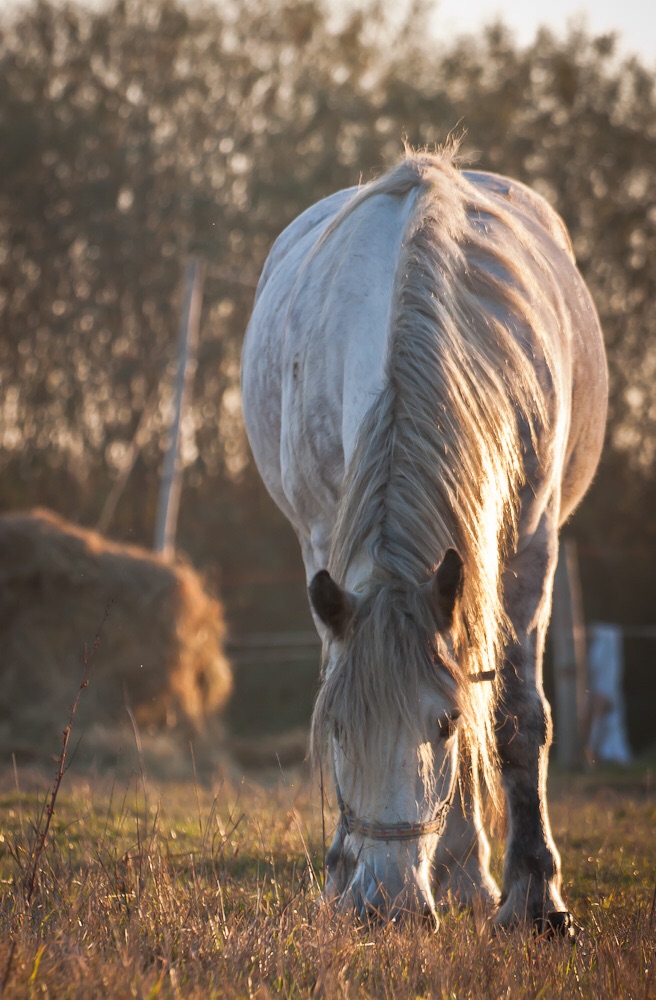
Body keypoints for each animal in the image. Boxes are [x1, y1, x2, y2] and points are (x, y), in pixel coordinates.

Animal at [240, 150, 604, 928]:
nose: (388, 904)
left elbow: (516, 717)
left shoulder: (531, 545)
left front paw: (536, 898)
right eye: (339, 732)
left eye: (440, 725)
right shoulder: (323, 538)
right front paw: (342, 870)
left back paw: (470, 877)